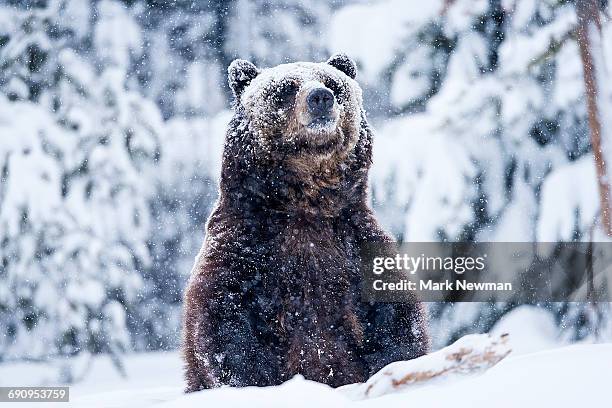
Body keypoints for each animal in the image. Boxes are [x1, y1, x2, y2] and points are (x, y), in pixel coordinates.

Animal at [183, 54, 426, 392]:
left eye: (333, 83)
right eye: (286, 88)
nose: (321, 97)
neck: (306, 206)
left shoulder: (355, 246)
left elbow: (395, 319)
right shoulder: (245, 248)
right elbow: (225, 324)